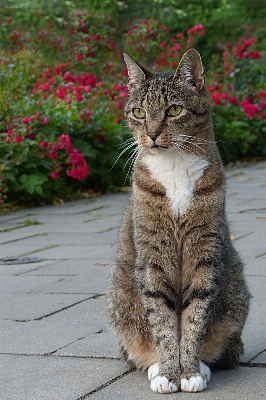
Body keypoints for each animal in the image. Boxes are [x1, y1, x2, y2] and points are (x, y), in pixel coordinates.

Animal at [105, 47, 249, 394]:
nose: (152, 134)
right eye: (139, 113)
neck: (174, 168)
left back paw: (204, 366)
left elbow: (195, 319)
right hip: (119, 298)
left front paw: (190, 372)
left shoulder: (205, 252)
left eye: (174, 110)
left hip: (235, 294)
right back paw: (156, 366)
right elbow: (162, 321)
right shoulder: (151, 257)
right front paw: (170, 373)